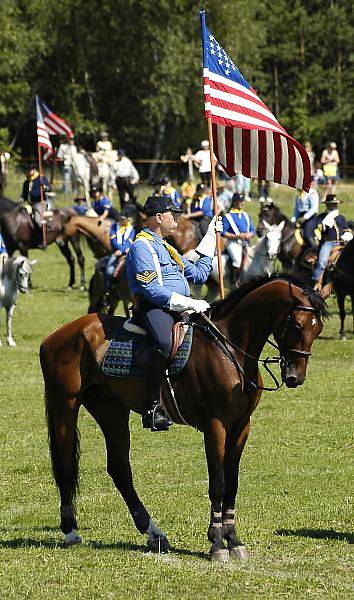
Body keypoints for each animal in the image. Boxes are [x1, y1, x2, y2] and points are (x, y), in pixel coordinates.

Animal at [38, 274, 326, 560]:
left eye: (318, 328)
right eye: (297, 324)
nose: (295, 377)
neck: (230, 350)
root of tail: (57, 335)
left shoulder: (241, 426)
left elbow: (232, 482)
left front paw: (234, 539)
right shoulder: (215, 426)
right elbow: (218, 483)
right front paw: (217, 542)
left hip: (111, 410)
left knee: (119, 469)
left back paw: (154, 534)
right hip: (65, 406)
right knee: (65, 464)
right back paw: (71, 531)